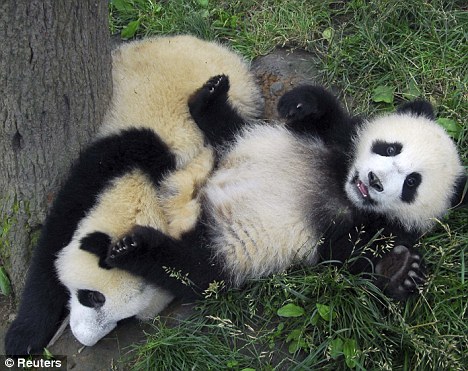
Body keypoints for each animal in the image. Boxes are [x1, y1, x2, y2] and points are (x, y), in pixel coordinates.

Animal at [4, 36, 264, 356]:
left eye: (125, 320)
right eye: (94, 297)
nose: (84, 339)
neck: (144, 191)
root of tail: (214, 47)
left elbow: (202, 272)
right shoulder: (112, 157)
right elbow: (52, 243)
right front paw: (23, 338)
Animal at [103, 76, 468, 308]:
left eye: (412, 183)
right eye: (390, 148)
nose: (374, 180)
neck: (341, 188)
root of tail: (185, 201)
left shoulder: (359, 229)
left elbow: (351, 258)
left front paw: (401, 271)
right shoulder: (334, 140)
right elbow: (328, 115)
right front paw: (301, 103)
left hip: (223, 248)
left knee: (192, 269)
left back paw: (132, 248)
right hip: (240, 142)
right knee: (229, 128)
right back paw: (209, 97)